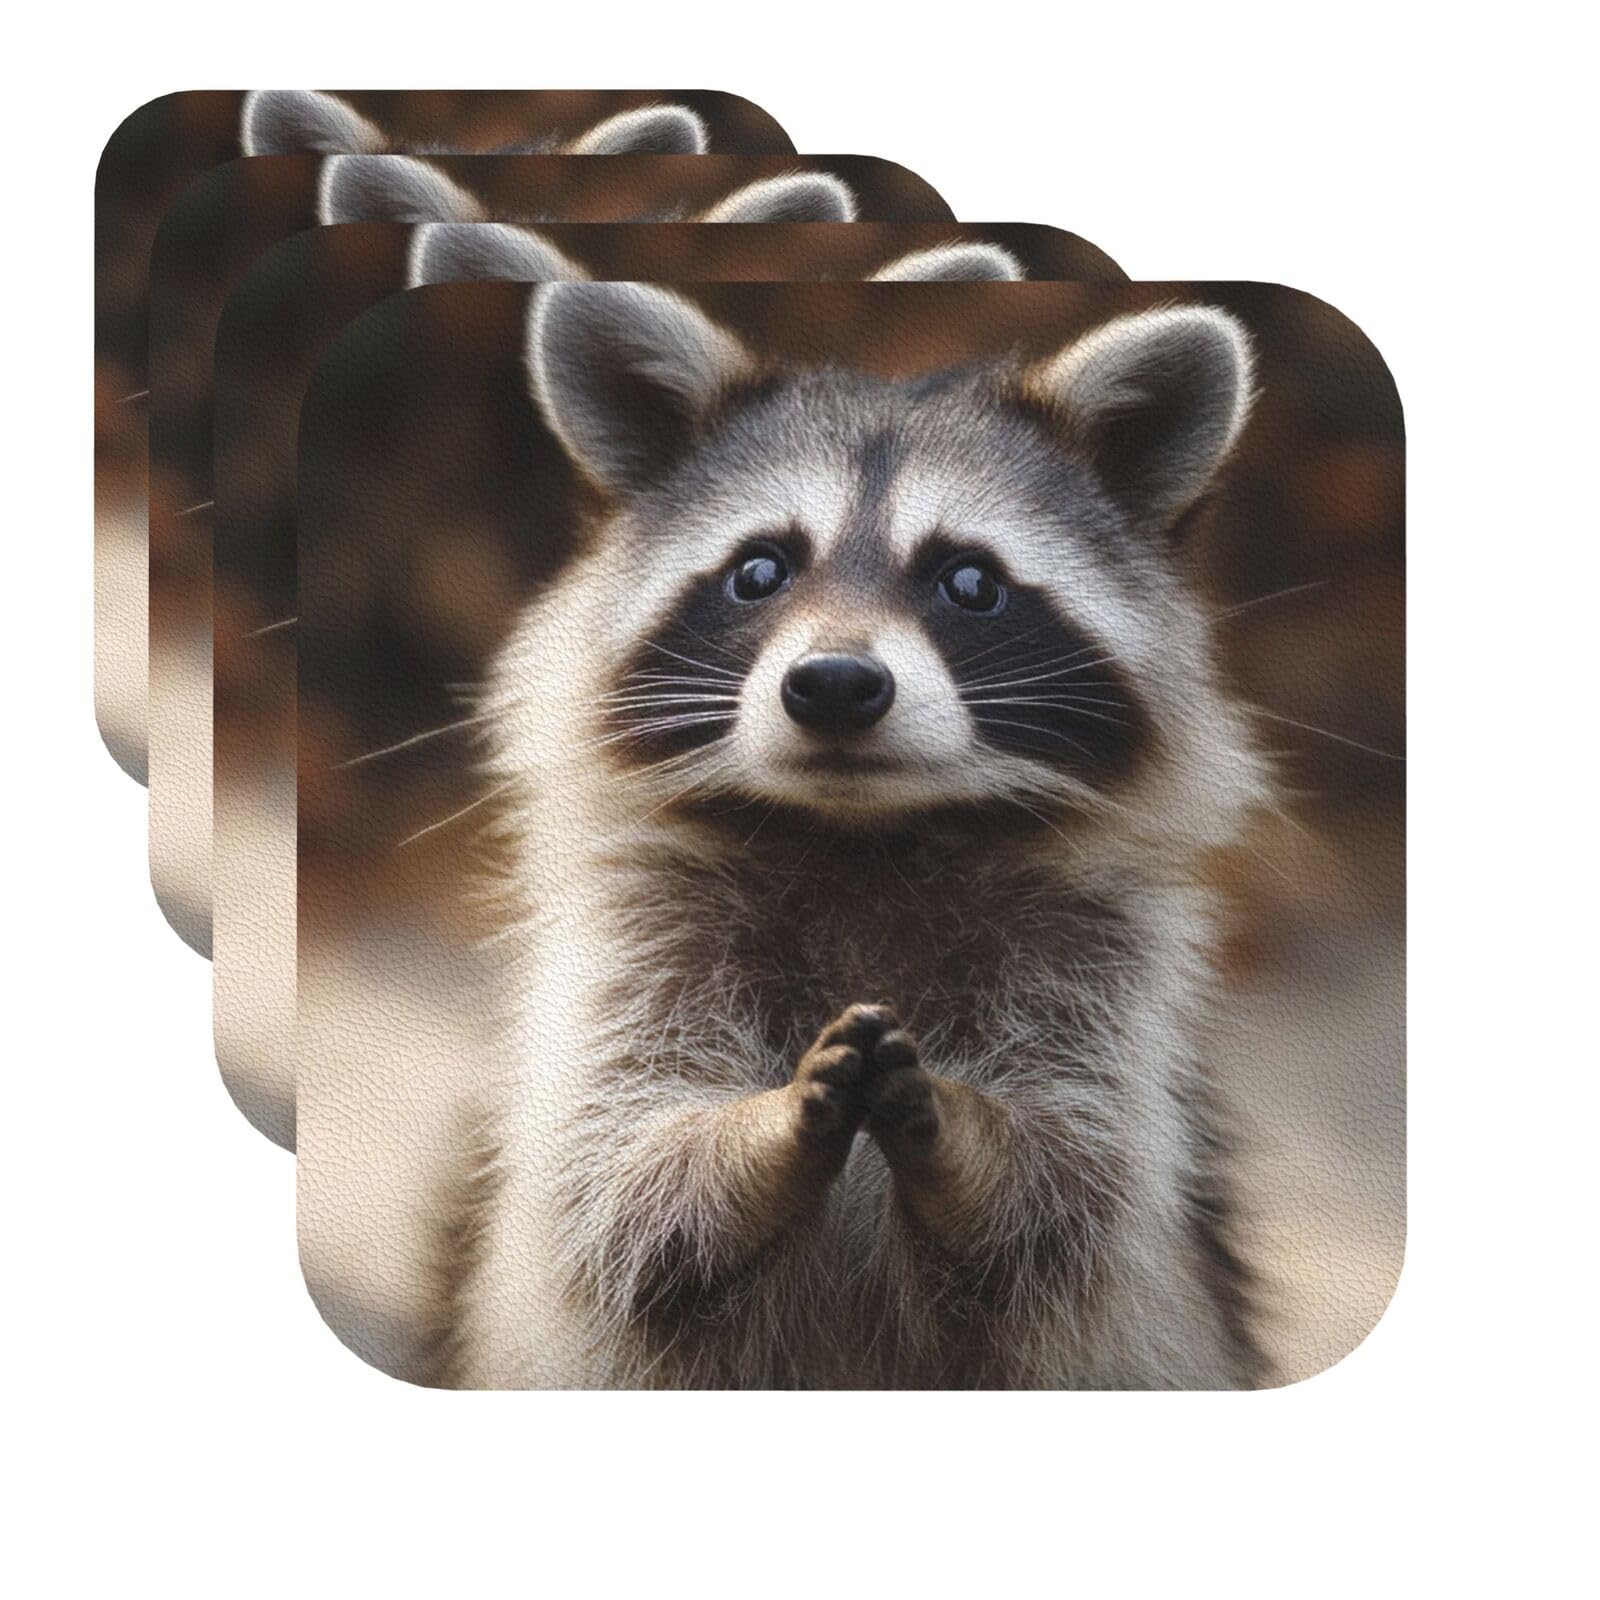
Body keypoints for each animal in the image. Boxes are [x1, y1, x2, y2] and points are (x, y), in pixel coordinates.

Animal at [451, 284, 1273, 1389]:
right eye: (759, 569)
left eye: (969, 582)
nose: (835, 684)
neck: (865, 837)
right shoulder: (639, 944)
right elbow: (621, 1176)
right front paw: (749, 1139)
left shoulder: (1101, 976)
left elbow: (1070, 1189)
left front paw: (972, 1139)